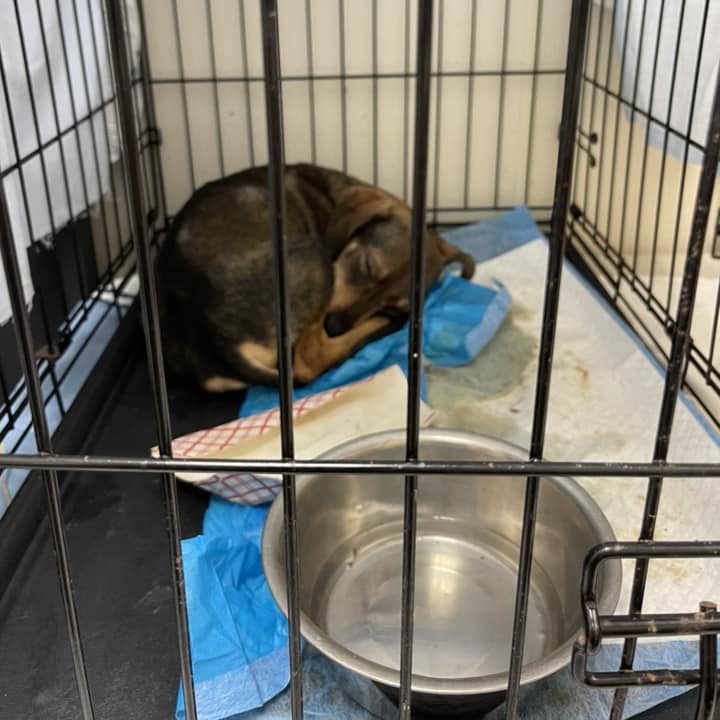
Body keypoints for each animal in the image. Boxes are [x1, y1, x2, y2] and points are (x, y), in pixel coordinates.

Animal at [155, 164, 476, 394]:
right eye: (366, 265)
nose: (334, 326)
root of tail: (212, 335)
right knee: (311, 362)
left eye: (390, 305)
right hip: (316, 257)